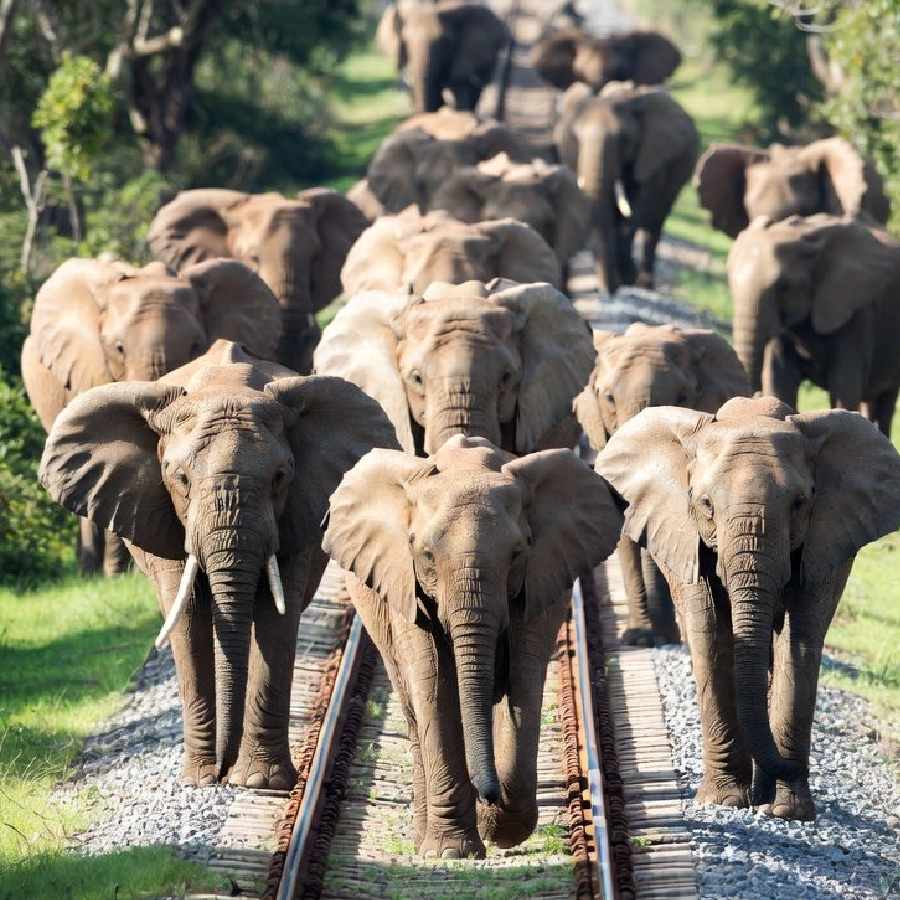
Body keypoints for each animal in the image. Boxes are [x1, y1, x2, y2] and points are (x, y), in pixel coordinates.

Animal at [39, 340, 399, 788]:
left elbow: (276, 615)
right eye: (179, 479)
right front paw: (199, 780)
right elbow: (188, 614)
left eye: (281, 476)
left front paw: (260, 782)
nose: (222, 773)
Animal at [323, 435, 622, 856]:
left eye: (517, 553)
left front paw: (499, 830)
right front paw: (452, 851)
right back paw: (424, 834)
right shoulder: (407, 587)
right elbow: (435, 688)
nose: (487, 795)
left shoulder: (539, 580)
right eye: (426, 555)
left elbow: (523, 682)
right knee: (414, 711)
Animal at [555, 82, 699, 294]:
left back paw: (644, 286)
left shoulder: (653, 155)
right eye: (576, 138)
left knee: (654, 225)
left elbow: (639, 204)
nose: (608, 291)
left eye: (624, 139)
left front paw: (626, 278)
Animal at [597, 395, 900, 820]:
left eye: (800, 503)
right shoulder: (688, 538)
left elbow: (800, 642)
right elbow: (710, 637)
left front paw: (789, 812)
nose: (795, 767)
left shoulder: (827, 540)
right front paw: (724, 802)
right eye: (705, 504)